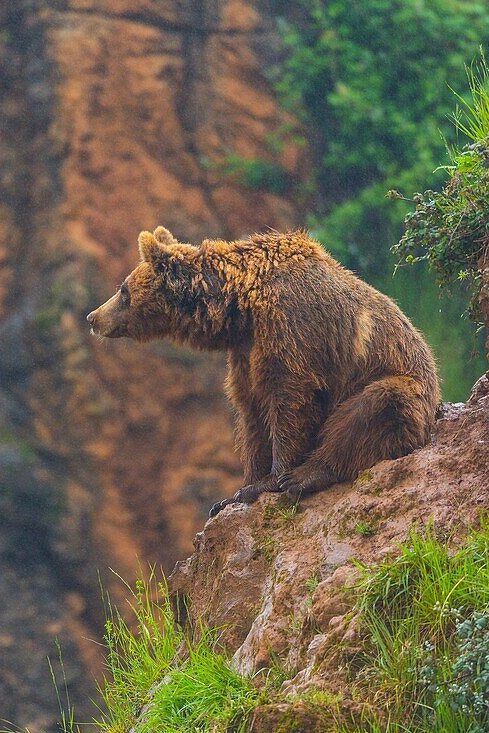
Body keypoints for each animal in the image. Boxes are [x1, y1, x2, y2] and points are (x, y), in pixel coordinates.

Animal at [86, 227, 438, 516]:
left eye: (123, 290)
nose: (93, 317)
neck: (241, 303)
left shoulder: (291, 327)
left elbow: (289, 399)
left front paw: (274, 478)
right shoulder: (245, 350)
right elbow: (251, 412)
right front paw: (236, 492)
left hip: (400, 382)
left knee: (376, 405)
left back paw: (307, 475)